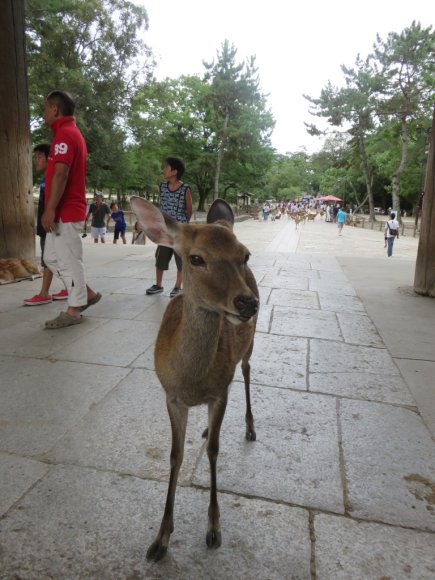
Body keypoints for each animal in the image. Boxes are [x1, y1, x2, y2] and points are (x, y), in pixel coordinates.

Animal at [129, 196, 258, 560]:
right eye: (196, 258)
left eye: (245, 254)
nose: (247, 303)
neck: (193, 381)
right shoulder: (171, 396)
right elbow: (175, 455)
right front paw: (160, 539)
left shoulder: (219, 393)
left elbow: (214, 450)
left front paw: (214, 529)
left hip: (250, 346)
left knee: (246, 371)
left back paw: (249, 426)